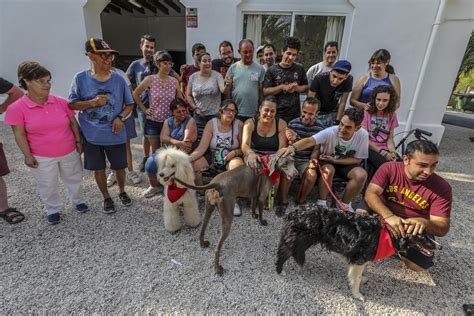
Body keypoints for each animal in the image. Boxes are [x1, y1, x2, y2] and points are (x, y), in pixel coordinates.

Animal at [276, 205, 442, 302]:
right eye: (422, 236)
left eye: (428, 234)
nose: (439, 247)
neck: (390, 234)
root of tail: (294, 212)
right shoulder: (359, 259)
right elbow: (355, 279)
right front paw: (357, 295)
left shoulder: (360, 260)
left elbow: (359, 276)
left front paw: (362, 281)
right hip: (298, 239)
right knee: (282, 252)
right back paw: (280, 270)